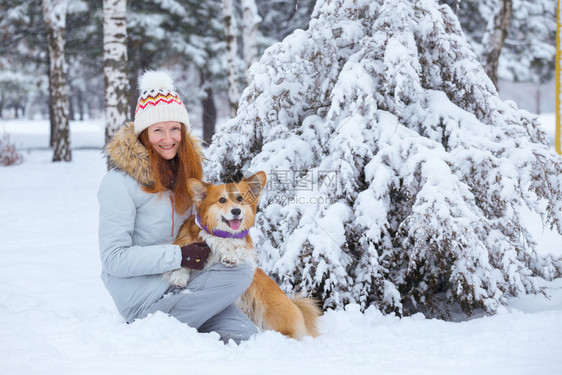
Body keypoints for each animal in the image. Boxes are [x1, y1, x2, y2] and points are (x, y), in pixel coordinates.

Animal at [164, 173, 320, 340]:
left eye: (240, 198)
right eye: (222, 200)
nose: (236, 211)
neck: (222, 235)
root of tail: (295, 305)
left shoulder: (246, 252)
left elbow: (240, 251)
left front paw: (231, 256)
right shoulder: (186, 244)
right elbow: (184, 257)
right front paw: (179, 276)